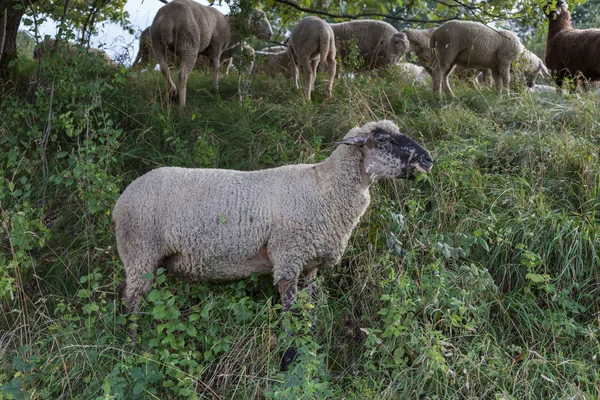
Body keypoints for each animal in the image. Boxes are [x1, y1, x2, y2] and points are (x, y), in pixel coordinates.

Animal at [112, 119, 432, 372]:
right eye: (382, 139)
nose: (428, 159)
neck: (325, 187)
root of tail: (121, 200)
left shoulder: (310, 265)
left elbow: (309, 313)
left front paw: (309, 351)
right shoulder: (288, 257)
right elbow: (290, 313)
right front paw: (289, 360)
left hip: (147, 259)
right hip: (140, 251)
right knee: (131, 301)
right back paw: (131, 349)